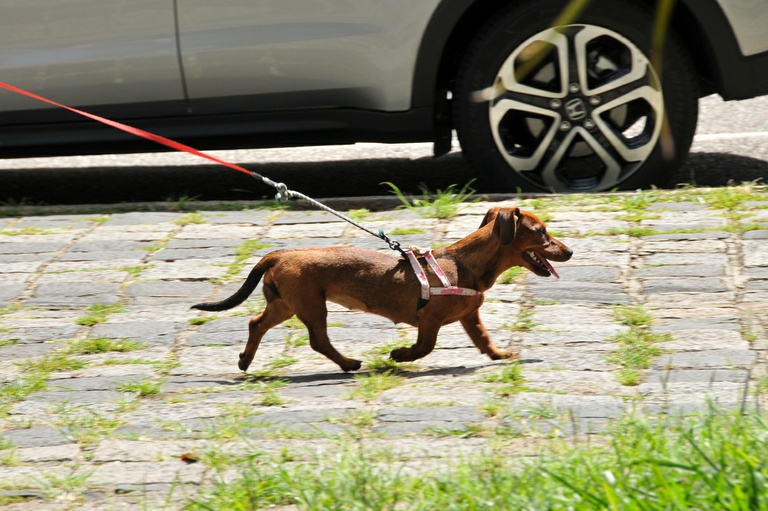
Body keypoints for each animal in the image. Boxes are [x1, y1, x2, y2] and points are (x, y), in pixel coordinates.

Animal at [195, 208, 572, 372]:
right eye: (541, 232)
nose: (570, 252)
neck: (463, 262)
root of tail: (279, 254)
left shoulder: (470, 315)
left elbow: (483, 339)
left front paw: (500, 355)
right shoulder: (430, 318)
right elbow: (425, 346)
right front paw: (401, 355)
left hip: (285, 305)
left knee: (256, 323)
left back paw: (246, 359)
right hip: (312, 306)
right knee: (318, 341)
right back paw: (348, 363)